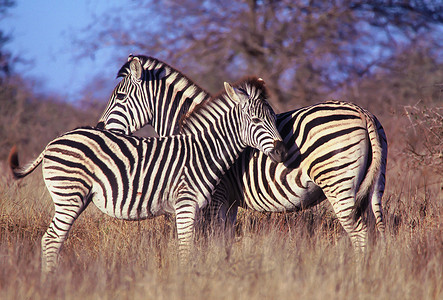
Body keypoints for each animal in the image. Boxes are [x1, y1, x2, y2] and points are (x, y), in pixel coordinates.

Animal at [7, 76, 288, 274]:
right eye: (255, 120)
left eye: (274, 118)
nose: (282, 151)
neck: (204, 151)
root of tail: (54, 141)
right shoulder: (186, 204)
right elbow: (186, 249)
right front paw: (185, 280)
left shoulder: (200, 208)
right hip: (69, 196)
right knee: (51, 239)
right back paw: (50, 281)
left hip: (76, 198)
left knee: (55, 239)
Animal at [98, 54, 388, 251]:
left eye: (120, 97)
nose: (99, 127)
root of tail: (362, 112)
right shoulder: (230, 202)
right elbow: (225, 241)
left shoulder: (216, 199)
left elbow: (212, 240)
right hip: (373, 186)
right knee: (376, 227)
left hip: (338, 181)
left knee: (359, 232)